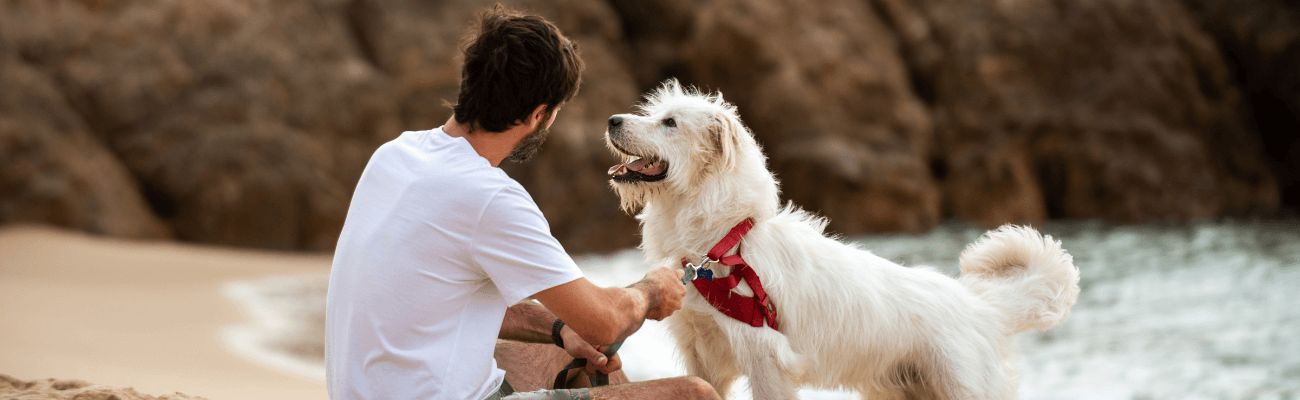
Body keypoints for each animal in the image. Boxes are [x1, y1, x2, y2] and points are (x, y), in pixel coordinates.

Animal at [603, 79, 1081, 397]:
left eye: (669, 123)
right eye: (655, 114)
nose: (611, 120)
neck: (724, 244)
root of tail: (984, 305)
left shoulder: (766, 360)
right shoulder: (702, 362)